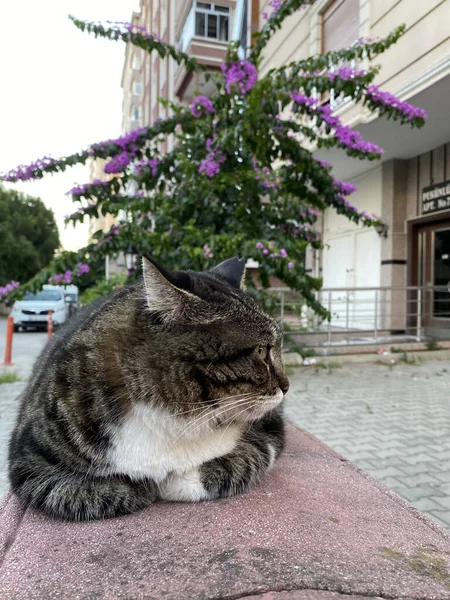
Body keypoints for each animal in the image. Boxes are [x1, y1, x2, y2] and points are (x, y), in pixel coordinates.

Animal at [8, 258, 290, 520]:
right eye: (261, 351)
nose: (286, 387)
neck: (180, 417)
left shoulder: (271, 427)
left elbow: (250, 456)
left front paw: (175, 481)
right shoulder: (28, 464)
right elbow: (83, 492)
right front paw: (144, 484)